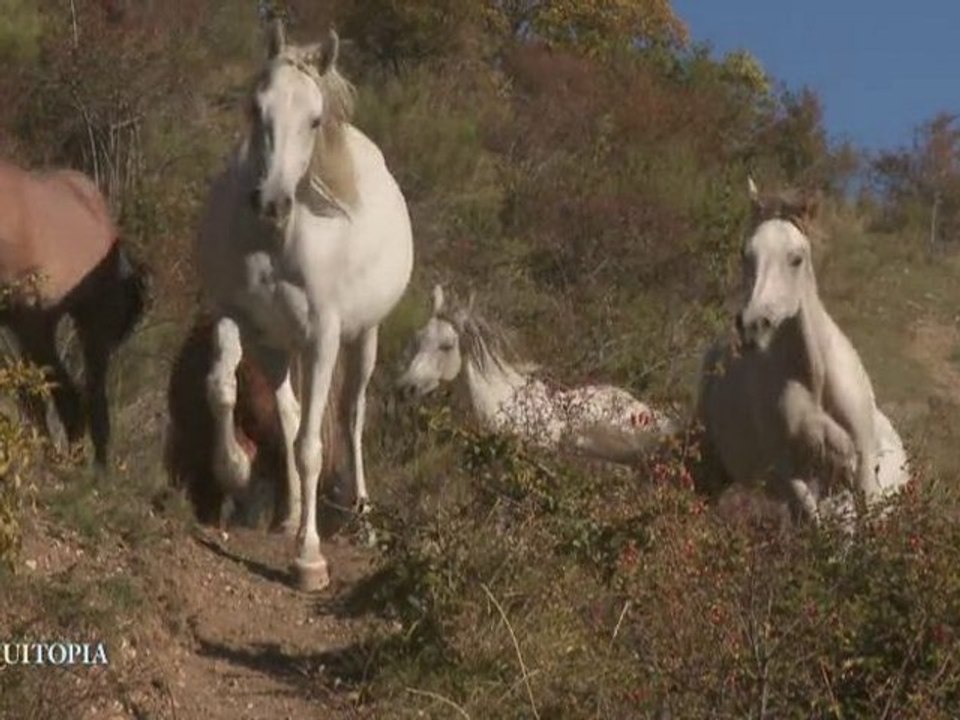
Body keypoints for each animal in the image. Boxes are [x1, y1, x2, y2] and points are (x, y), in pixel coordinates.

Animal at [195, 21, 414, 591]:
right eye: (257, 108)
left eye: (314, 120)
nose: (271, 202)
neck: (275, 242)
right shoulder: (238, 317)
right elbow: (222, 387)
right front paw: (234, 470)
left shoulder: (323, 339)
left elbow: (314, 446)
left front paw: (309, 557)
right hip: (280, 346)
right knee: (292, 414)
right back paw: (290, 514)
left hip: (361, 340)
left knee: (351, 415)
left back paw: (361, 515)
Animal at [697, 178, 909, 526]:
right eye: (746, 255)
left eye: (796, 258)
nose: (753, 325)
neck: (815, 379)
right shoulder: (788, 474)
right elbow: (817, 526)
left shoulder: (862, 466)